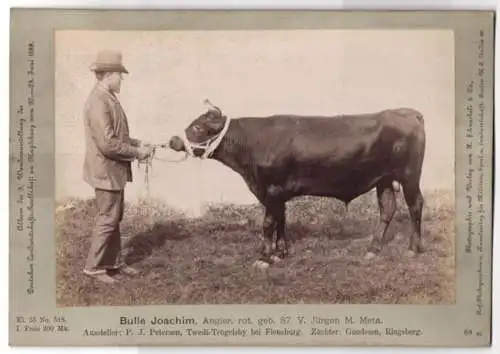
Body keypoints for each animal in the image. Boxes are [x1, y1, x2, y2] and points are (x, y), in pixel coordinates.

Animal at [169, 101, 426, 264]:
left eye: (197, 127)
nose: (173, 140)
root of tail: (408, 112)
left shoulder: (272, 188)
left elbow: (268, 223)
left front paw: (264, 257)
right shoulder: (275, 192)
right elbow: (281, 220)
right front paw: (280, 252)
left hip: (409, 174)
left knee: (415, 206)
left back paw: (413, 249)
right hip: (384, 179)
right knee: (388, 209)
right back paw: (372, 250)